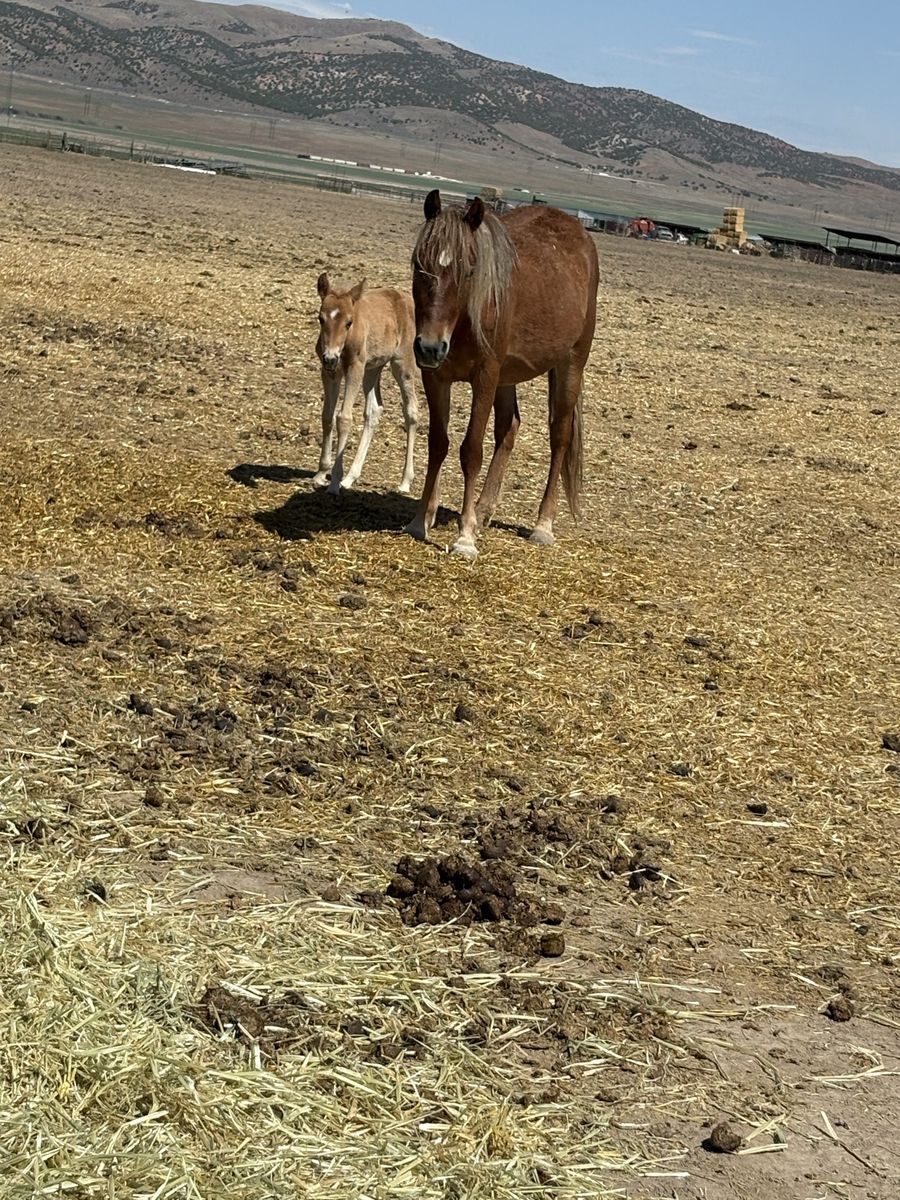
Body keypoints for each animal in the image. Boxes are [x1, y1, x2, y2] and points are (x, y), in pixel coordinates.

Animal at [314, 274, 419, 495]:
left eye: (349, 322)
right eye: (320, 318)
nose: (330, 357)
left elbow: (344, 418)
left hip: (401, 363)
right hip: (373, 368)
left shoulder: (355, 368)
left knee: (411, 411)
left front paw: (333, 483)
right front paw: (321, 473)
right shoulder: (330, 372)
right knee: (374, 410)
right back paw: (350, 478)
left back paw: (405, 481)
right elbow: (327, 416)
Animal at [407, 190, 599, 557]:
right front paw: (421, 519)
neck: (465, 318)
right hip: (507, 377)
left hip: (570, 363)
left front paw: (465, 537)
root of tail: (579, 232)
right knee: (509, 429)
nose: (430, 347)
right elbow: (438, 444)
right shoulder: (435, 378)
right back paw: (483, 510)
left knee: (560, 437)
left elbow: (471, 451)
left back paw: (542, 525)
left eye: (469, 270)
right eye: (418, 264)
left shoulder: (485, 376)